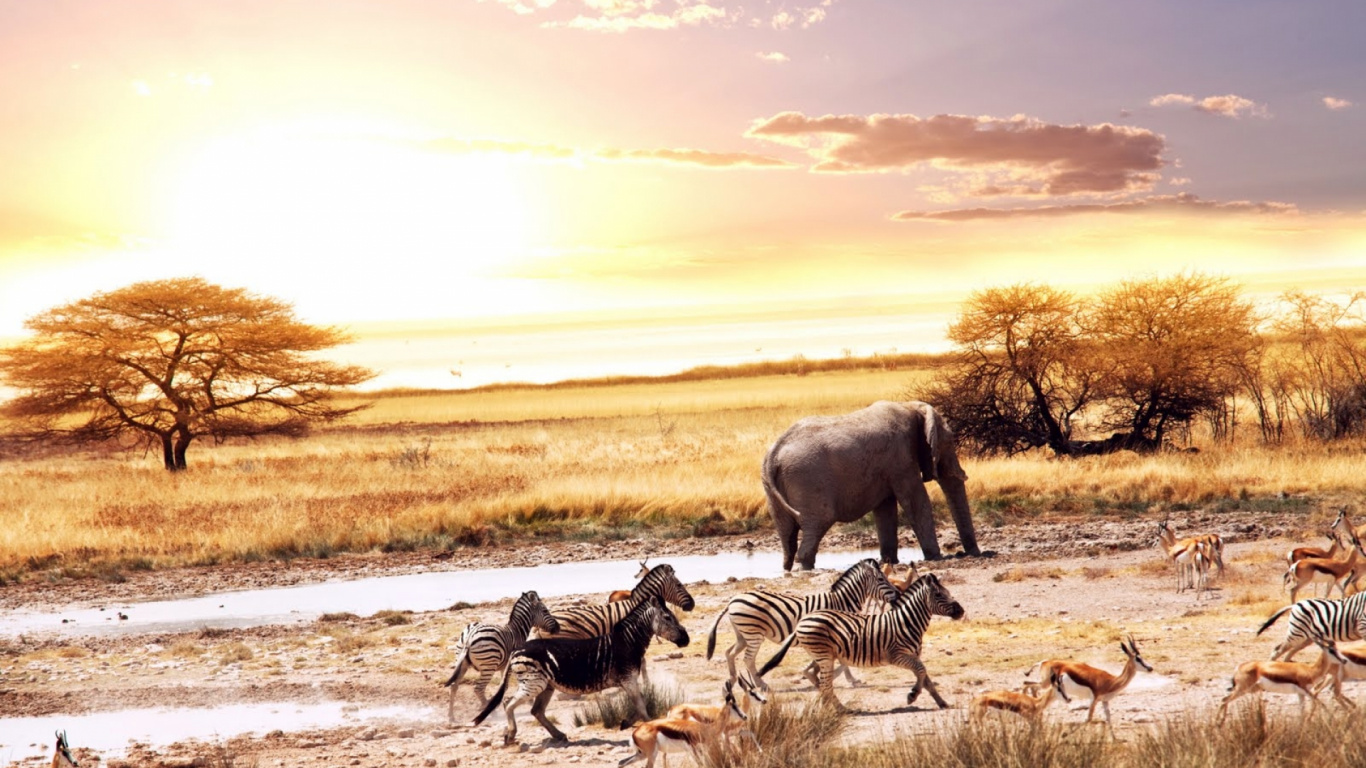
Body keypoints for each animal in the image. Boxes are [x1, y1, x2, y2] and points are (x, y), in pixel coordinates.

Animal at [442, 590, 559, 722]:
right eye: (545, 611)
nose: (558, 627)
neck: (518, 631)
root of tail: (470, 635)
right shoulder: (515, 665)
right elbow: (513, 685)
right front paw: (528, 700)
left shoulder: (504, 667)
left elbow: (504, 686)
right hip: (488, 665)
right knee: (478, 689)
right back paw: (491, 713)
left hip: (461, 663)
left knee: (454, 686)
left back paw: (451, 716)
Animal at [472, 595, 690, 746]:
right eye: (668, 617)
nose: (686, 640)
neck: (628, 642)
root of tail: (516, 650)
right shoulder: (628, 679)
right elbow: (642, 706)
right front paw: (649, 727)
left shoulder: (628, 681)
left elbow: (639, 705)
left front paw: (626, 723)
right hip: (534, 683)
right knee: (509, 703)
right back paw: (510, 735)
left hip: (546, 685)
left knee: (536, 710)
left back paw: (558, 735)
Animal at [704, 558, 899, 691]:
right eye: (881, 580)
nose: (898, 595)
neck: (841, 601)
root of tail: (733, 600)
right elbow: (841, 661)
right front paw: (846, 679)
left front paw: (846, 679)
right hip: (753, 634)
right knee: (748, 659)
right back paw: (761, 684)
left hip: (742, 634)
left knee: (729, 652)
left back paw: (732, 679)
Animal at [758, 572, 965, 709]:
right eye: (939, 595)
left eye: (947, 592)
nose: (961, 611)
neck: (906, 621)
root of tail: (803, 620)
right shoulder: (897, 655)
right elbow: (921, 671)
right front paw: (912, 696)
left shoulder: (914, 655)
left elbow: (926, 678)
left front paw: (941, 702)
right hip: (824, 656)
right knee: (824, 683)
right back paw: (838, 708)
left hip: (823, 655)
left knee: (815, 676)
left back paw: (832, 706)